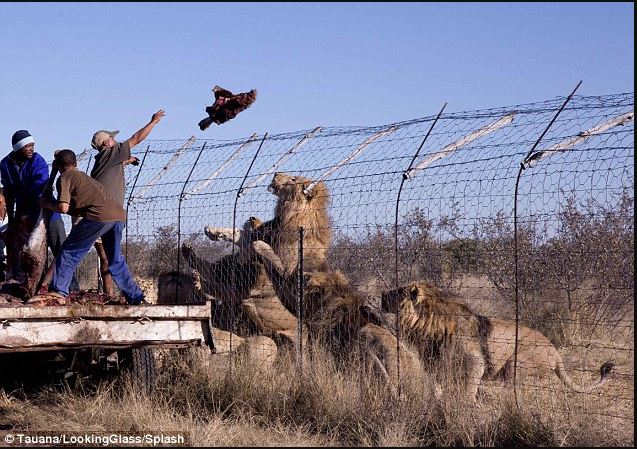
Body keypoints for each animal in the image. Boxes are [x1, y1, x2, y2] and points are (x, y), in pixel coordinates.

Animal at [380, 282, 612, 400]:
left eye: (396, 292)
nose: (381, 293)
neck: (427, 321)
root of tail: (556, 353)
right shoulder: (435, 364)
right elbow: (436, 388)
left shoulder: (475, 363)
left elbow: (468, 391)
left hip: (517, 363)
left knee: (513, 390)